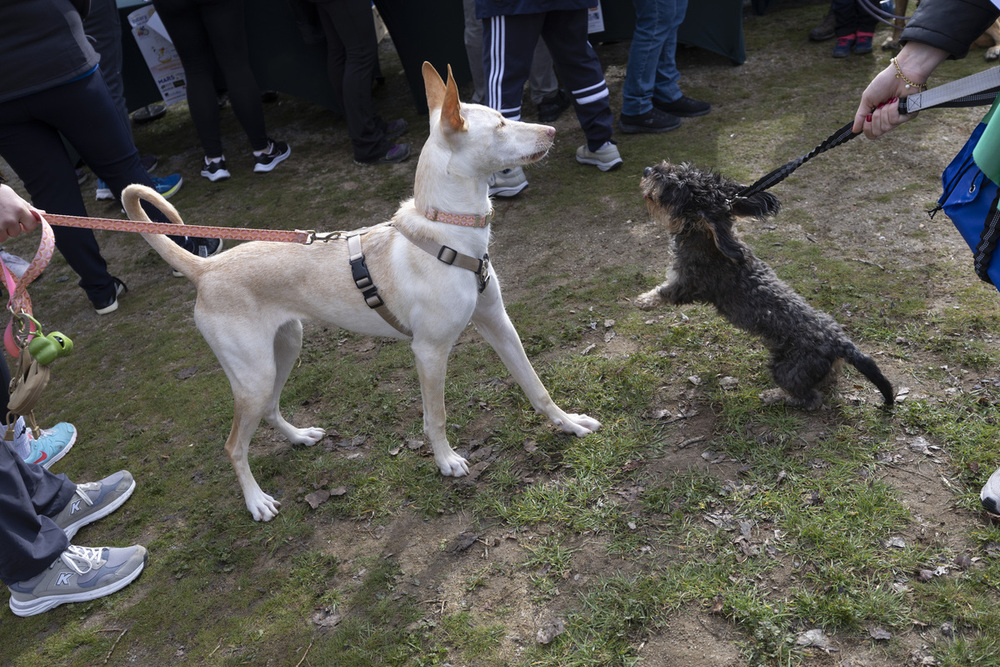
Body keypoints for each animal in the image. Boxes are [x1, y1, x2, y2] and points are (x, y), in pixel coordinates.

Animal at [121, 62, 596, 520]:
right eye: (499, 124)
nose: (553, 131)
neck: (449, 233)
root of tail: (206, 268)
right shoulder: (429, 351)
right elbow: (436, 417)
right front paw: (446, 461)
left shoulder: (498, 323)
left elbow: (536, 387)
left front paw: (569, 423)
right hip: (254, 376)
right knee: (233, 445)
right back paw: (256, 502)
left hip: (285, 348)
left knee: (271, 409)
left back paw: (299, 437)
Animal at [636, 163, 896, 408]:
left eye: (673, 185)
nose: (647, 170)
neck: (703, 237)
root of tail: (841, 344)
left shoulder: (687, 283)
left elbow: (663, 292)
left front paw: (644, 301)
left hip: (787, 369)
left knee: (810, 399)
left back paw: (775, 396)